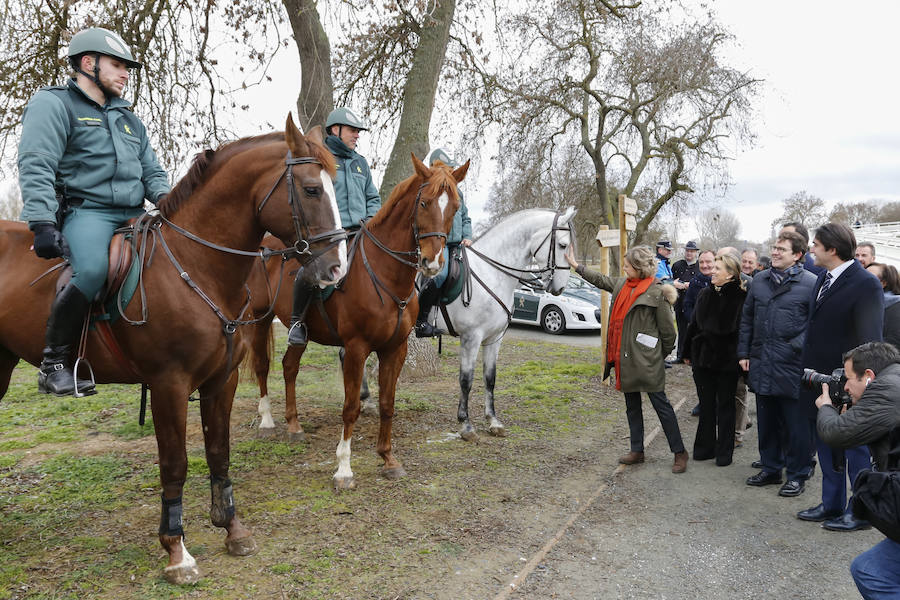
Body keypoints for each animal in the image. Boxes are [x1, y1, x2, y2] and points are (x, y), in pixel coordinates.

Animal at [0, 115, 348, 584]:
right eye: (312, 189)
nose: (336, 269)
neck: (197, 265)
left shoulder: (222, 380)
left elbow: (218, 452)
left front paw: (232, 528)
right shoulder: (169, 385)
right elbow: (176, 464)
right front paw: (176, 551)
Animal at [246, 157, 472, 490]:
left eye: (455, 207)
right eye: (424, 203)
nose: (432, 263)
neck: (384, 273)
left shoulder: (395, 349)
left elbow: (387, 403)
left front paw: (388, 459)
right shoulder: (356, 349)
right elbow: (350, 407)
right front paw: (343, 469)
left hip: (301, 332)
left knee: (289, 367)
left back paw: (294, 424)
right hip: (259, 319)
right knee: (263, 366)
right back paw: (267, 421)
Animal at [430, 209, 572, 438]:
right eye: (562, 245)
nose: (560, 287)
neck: (491, 272)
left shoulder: (494, 339)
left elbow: (490, 378)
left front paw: (493, 421)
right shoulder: (471, 338)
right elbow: (466, 380)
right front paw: (465, 424)